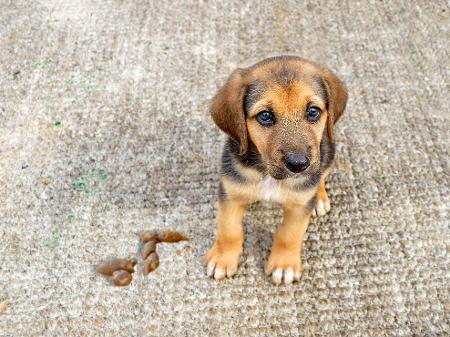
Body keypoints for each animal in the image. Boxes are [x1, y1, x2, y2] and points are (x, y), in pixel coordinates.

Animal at [204, 55, 348, 284]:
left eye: (313, 112)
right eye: (265, 116)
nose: (298, 165)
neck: (268, 175)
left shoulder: (299, 206)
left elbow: (289, 235)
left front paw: (284, 265)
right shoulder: (230, 193)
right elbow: (229, 230)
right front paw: (222, 259)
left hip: (328, 152)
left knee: (321, 175)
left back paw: (319, 198)